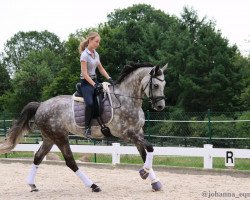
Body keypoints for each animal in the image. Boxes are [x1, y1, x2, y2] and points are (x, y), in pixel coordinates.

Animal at [0, 63, 168, 193]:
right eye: (155, 85)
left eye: (164, 85)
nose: (160, 106)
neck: (127, 99)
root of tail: (41, 105)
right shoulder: (128, 133)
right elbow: (150, 148)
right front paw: (144, 172)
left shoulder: (138, 133)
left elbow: (145, 154)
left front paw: (155, 182)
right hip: (60, 137)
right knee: (70, 161)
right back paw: (93, 185)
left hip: (49, 138)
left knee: (38, 157)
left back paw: (32, 185)